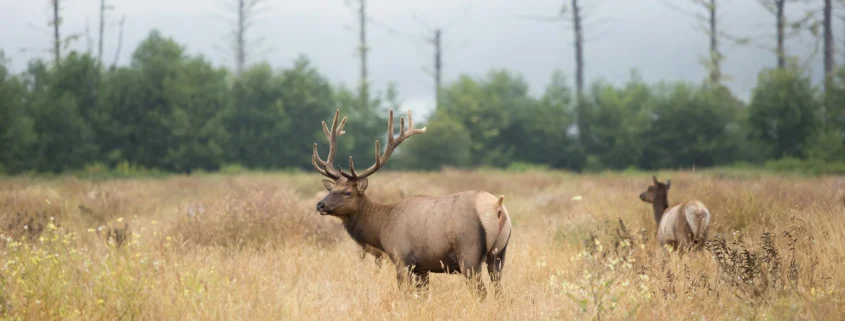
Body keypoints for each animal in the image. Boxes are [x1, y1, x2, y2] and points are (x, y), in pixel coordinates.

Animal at [310, 109, 508, 296]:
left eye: (347, 192)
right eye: (331, 189)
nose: (320, 205)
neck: (381, 229)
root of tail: (497, 206)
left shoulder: (401, 257)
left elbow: (405, 292)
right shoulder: (422, 267)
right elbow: (422, 294)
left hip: (469, 253)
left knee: (481, 292)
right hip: (499, 254)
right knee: (499, 291)